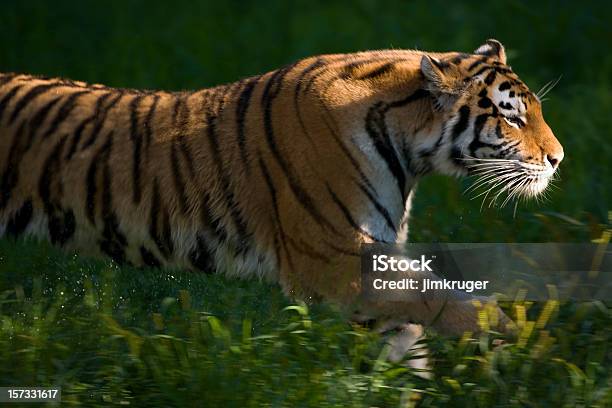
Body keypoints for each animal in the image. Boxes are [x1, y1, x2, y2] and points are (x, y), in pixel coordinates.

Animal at [0, 39, 564, 338]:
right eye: (511, 116)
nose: (559, 159)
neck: (410, 154)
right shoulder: (337, 261)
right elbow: (445, 301)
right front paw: (523, 336)